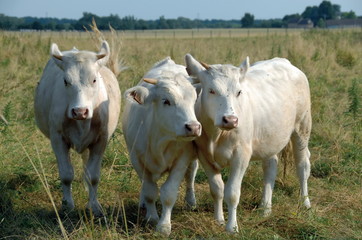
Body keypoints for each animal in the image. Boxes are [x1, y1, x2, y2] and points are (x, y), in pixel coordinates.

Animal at [33, 40, 120, 217]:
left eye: (94, 80)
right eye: (66, 81)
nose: (80, 111)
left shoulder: (101, 140)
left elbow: (93, 176)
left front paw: (94, 205)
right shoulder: (57, 139)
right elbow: (66, 174)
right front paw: (67, 205)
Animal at [121, 57, 201, 236]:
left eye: (194, 101)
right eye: (166, 101)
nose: (193, 127)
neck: (160, 140)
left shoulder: (182, 160)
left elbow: (169, 193)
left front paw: (164, 226)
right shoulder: (137, 159)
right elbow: (150, 191)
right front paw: (151, 217)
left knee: (191, 175)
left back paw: (191, 201)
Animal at [185, 54, 312, 232]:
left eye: (239, 92)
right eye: (211, 90)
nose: (230, 119)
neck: (217, 135)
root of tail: (284, 61)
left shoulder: (241, 156)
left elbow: (232, 193)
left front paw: (232, 227)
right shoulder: (204, 155)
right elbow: (217, 189)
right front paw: (219, 220)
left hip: (302, 128)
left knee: (302, 165)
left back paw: (305, 201)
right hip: (270, 139)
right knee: (270, 167)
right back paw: (265, 207)